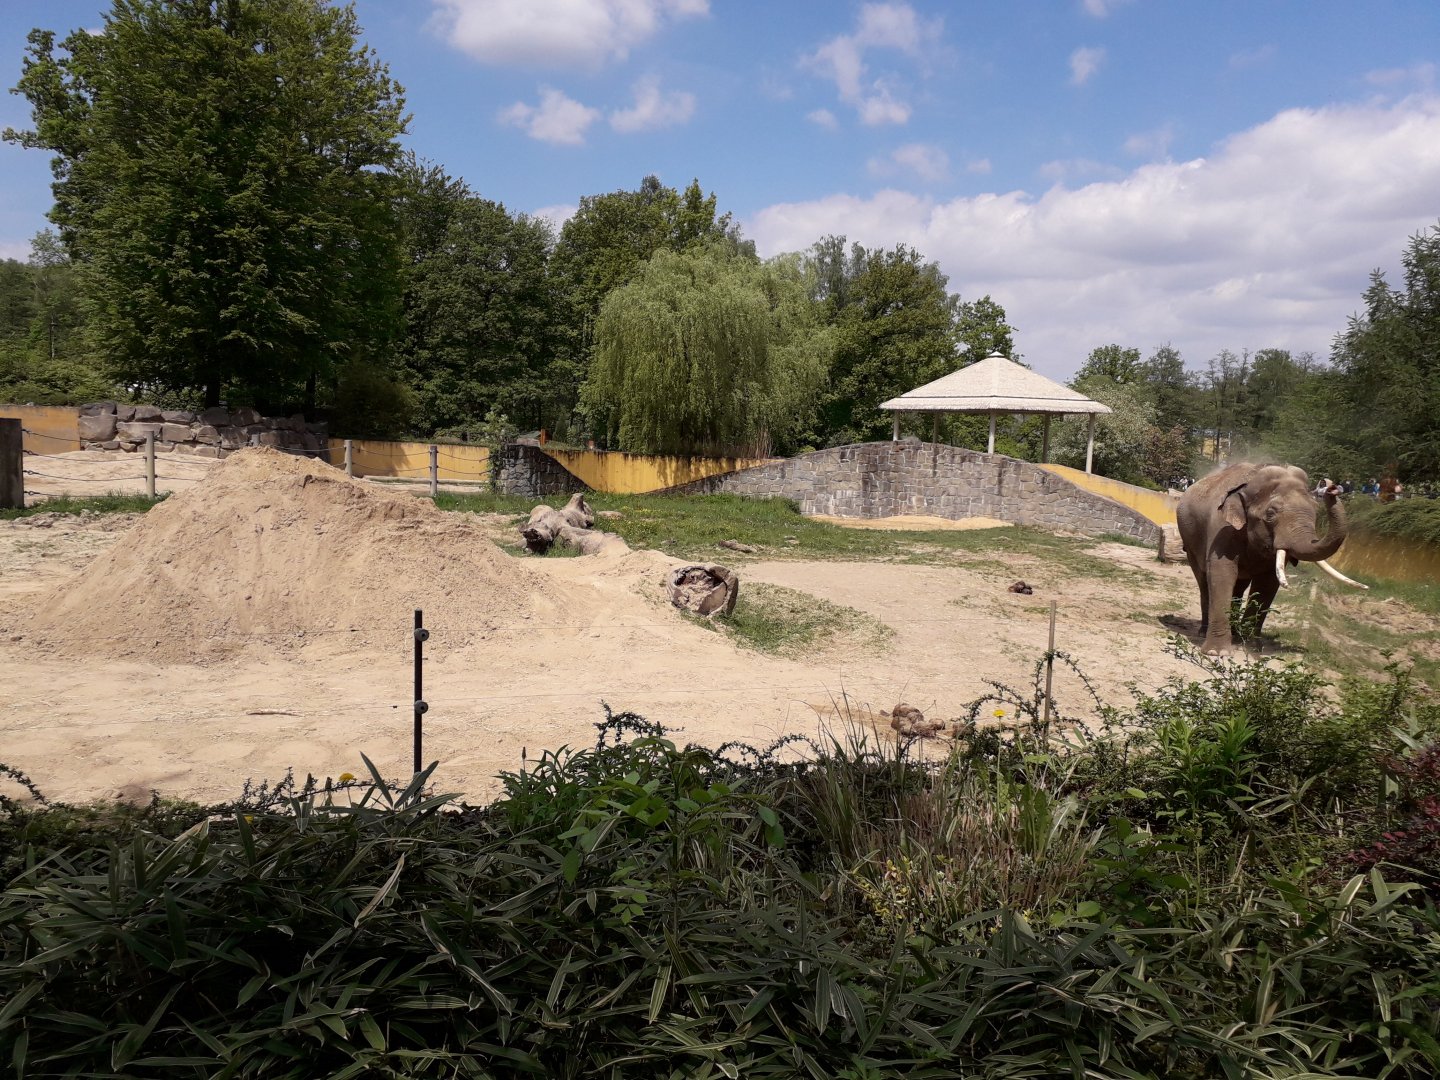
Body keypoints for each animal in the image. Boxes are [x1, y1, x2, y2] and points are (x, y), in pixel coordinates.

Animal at [1176, 463, 1367, 654]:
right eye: (1270, 513)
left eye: (1315, 509)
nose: (1330, 487)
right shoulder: (1221, 529)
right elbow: (1222, 573)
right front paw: (1217, 652)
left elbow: (1267, 583)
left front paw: (1251, 646)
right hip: (1190, 544)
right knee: (1204, 581)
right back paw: (1203, 632)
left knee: (1239, 586)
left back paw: (1235, 634)